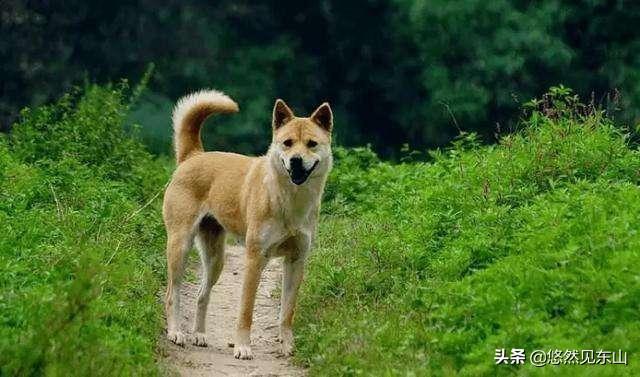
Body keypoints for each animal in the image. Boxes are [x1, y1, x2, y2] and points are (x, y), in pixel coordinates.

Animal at [162, 89, 332, 358]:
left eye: (312, 144)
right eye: (287, 143)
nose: (295, 161)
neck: (289, 200)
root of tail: (194, 155)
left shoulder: (296, 261)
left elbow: (287, 312)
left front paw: (288, 346)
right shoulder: (254, 259)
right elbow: (246, 311)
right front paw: (242, 347)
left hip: (215, 259)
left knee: (201, 295)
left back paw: (199, 335)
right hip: (180, 246)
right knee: (172, 294)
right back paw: (176, 332)